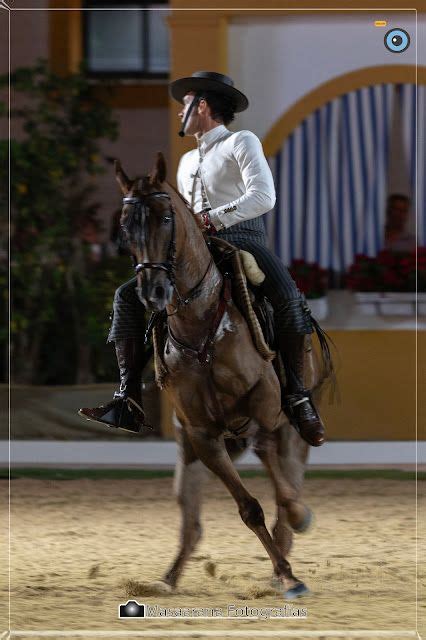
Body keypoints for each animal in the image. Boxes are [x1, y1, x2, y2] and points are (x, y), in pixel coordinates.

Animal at [115, 152, 332, 596]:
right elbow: (249, 508)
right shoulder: (202, 434)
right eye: (126, 225)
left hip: (292, 428)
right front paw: (286, 572)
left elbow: (277, 485)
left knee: (286, 473)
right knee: (192, 520)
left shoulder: (267, 407)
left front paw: (291, 557)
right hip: (191, 450)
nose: (154, 293)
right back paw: (167, 579)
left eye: (166, 217)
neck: (201, 329)